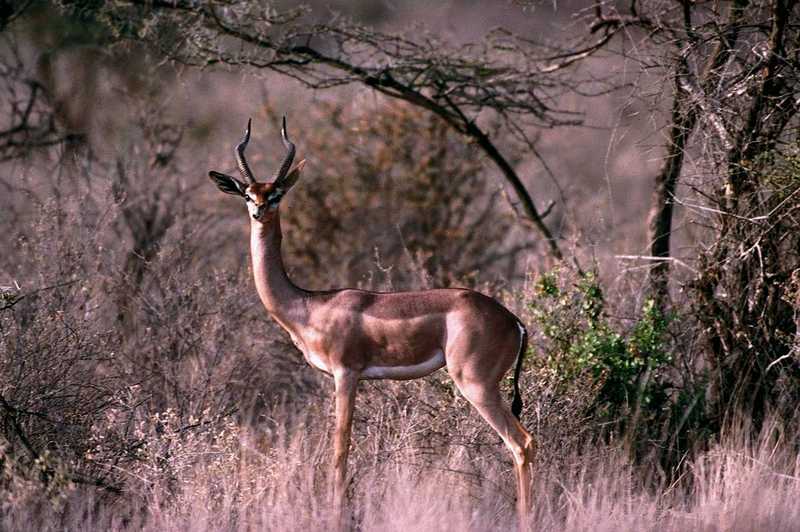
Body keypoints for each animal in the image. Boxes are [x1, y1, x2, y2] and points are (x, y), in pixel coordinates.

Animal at [209, 116, 536, 528]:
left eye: (277, 193)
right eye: (248, 194)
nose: (259, 213)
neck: (308, 305)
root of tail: (514, 321)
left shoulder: (346, 374)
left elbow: (340, 451)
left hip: (476, 384)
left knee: (521, 443)